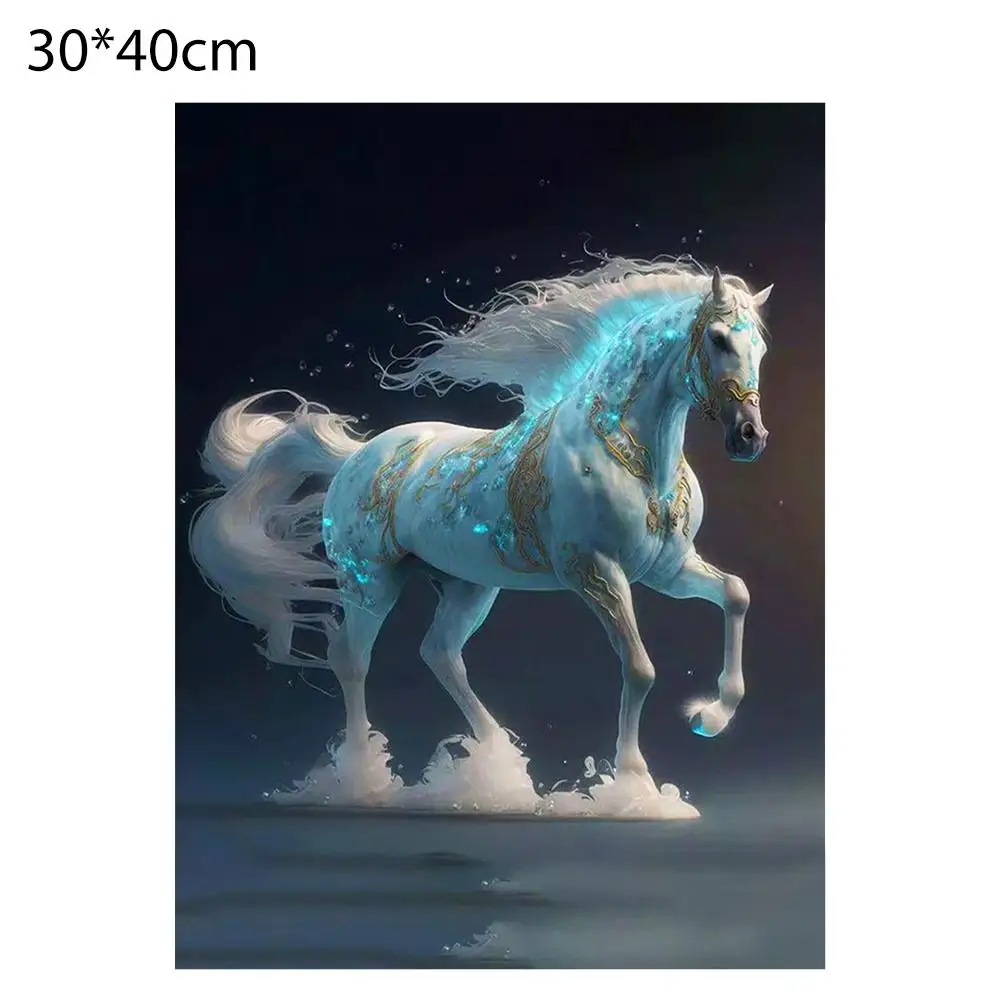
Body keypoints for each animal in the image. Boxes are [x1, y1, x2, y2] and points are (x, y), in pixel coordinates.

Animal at [189, 256, 772, 789]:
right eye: (718, 338)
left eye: (761, 349)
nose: (750, 437)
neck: (629, 455)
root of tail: (356, 457)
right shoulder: (597, 574)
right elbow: (640, 667)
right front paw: (632, 777)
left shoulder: (667, 569)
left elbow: (737, 594)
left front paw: (711, 717)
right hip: (368, 581)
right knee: (352, 659)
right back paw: (363, 773)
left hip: (468, 586)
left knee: (440, 653)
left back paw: (496, 761)